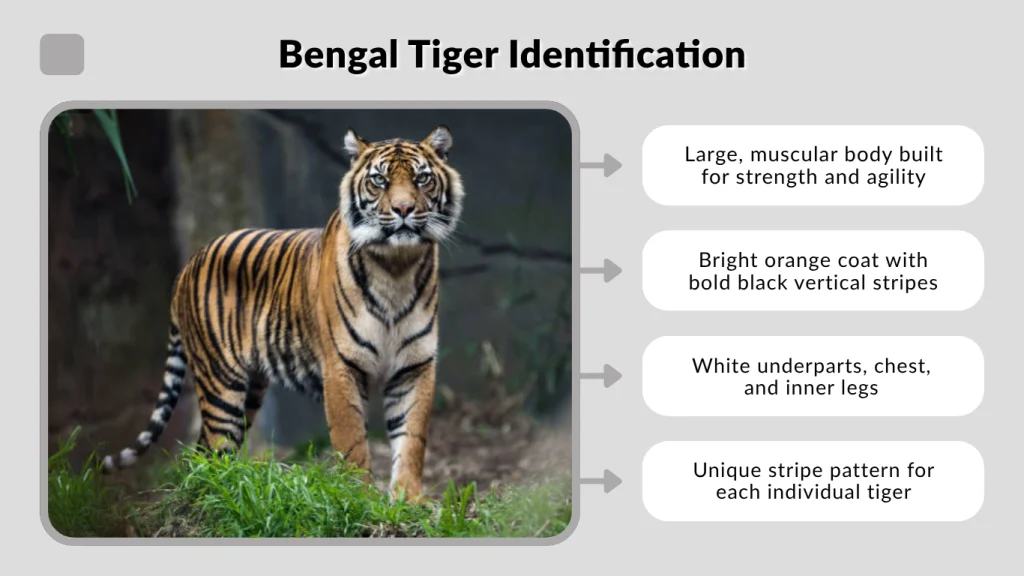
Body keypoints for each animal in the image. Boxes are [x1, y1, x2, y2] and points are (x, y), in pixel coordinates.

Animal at [100, 125, 464, 501]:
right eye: (379, 180)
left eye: (422, 179)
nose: (404, 208)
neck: (396, 268)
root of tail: (187, 266)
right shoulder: (341, 367)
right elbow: (353, 443)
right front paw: (359, 498)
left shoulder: (414, 367)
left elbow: (412, 439)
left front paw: (410, 500)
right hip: (221, 383)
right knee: (214, 445)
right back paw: (221, 494)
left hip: (250, 389)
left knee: (202, 450)